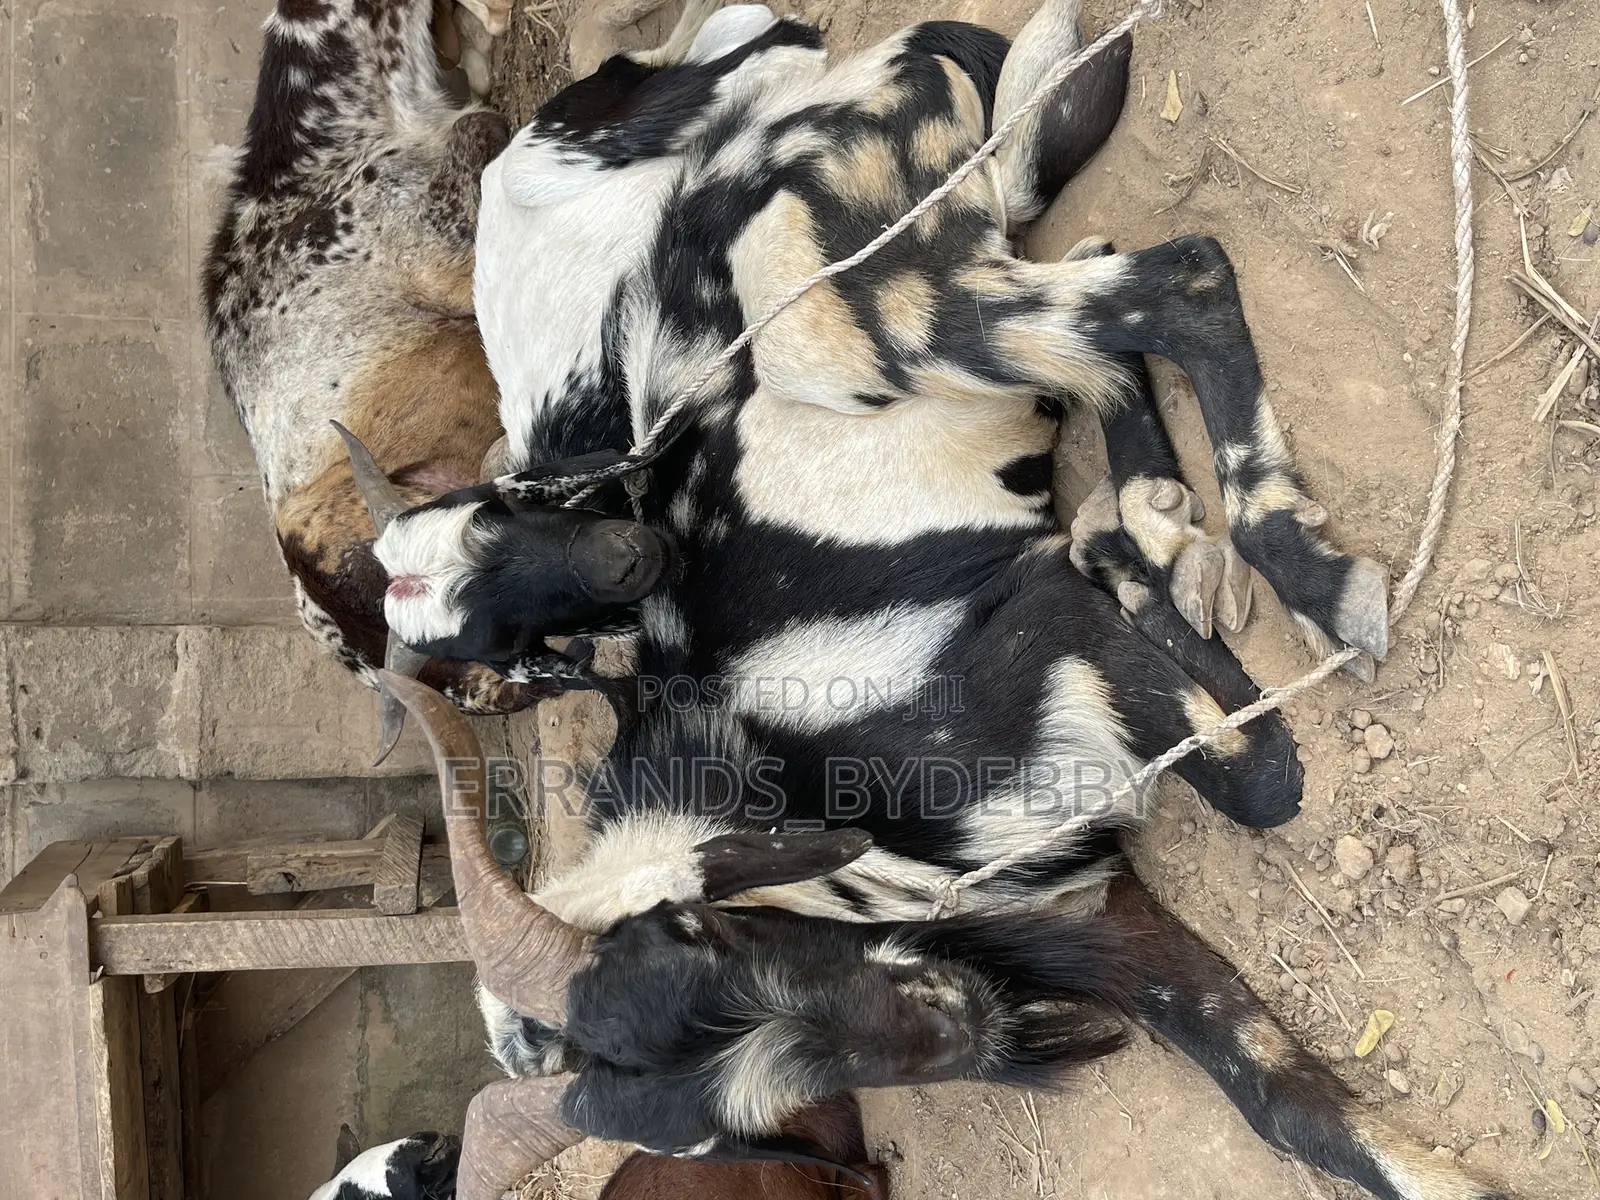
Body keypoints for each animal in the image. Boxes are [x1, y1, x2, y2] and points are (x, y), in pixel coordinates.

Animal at [363, 3, 1506, 1199]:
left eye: (705, 942)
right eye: (710, 1129)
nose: (948, 1028)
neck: (811, 800)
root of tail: (853, 75)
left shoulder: (1047, 638)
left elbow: (1265, 783)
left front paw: (1133, 561)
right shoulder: (1081, 907)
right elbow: (1277, 1094)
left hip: (833, 310)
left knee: (1177, 280)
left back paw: (1299, 571)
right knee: (1098, 329)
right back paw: (1153, 501)